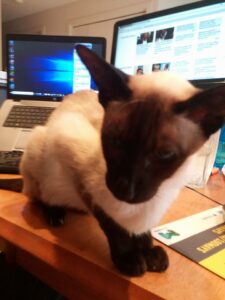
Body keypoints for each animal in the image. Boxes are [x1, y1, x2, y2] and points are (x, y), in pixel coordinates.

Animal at [19, 45, 225, 276]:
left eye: (164, 154)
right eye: (116, 142)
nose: (126, 189)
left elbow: (142, 230)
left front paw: (149, 253)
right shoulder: (80, 176)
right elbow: (113, 225)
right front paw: (129, 259)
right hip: (39, 145)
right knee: (38, 195)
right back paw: (55, 213)